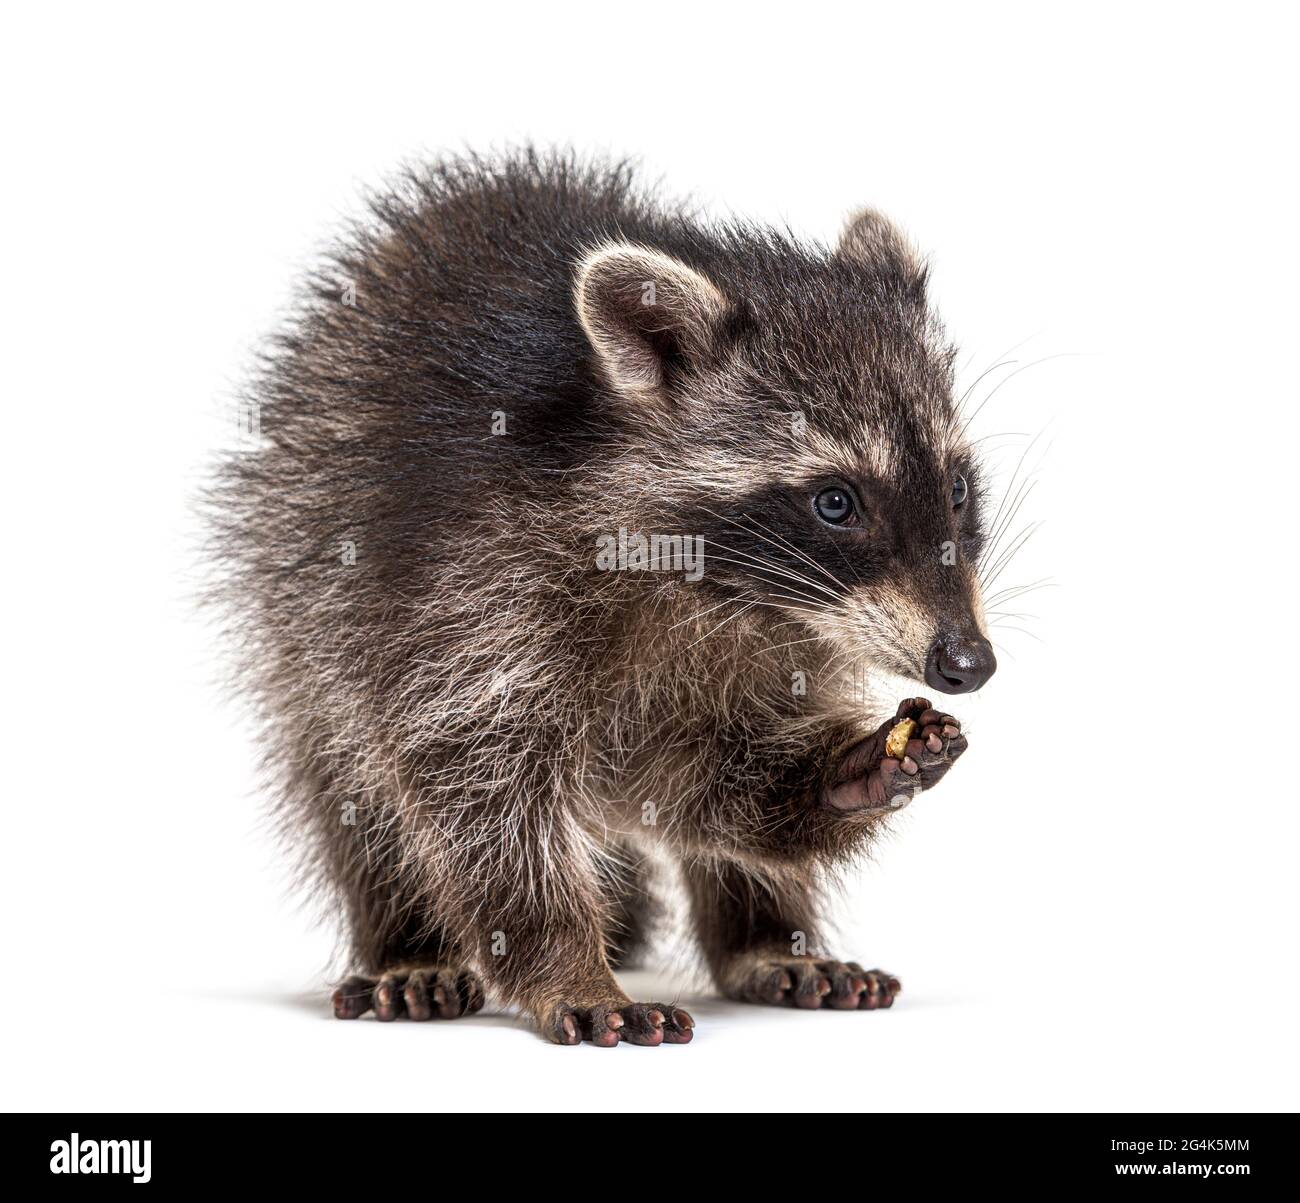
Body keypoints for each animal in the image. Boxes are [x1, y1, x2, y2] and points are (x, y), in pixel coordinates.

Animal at [208, 150, 993, 1045]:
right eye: (836, 502)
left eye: (957, 488)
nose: (969, 661)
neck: (726, 590)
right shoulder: (463, 590)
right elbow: (475, 788)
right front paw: (565, 961)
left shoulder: (789, 644)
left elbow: (721, 776)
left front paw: (841, 774)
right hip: (300, 582)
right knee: (348, 780)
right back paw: (404, 943)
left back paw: (764, 935)